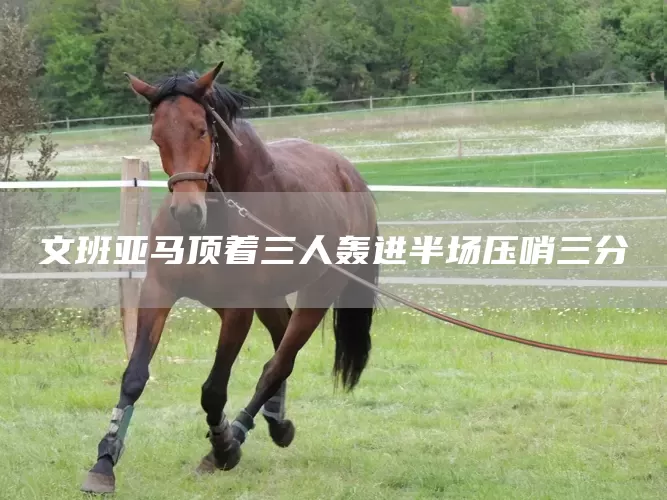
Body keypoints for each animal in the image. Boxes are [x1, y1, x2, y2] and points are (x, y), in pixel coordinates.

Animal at [81, 62, 381, 494]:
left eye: (201, 131)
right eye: (157, 136)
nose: (187, 213)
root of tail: (351, 176)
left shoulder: (238, 310)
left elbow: (213, 390)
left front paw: (222, 447)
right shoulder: (159, 291)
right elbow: (134, 376)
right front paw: (104, 461)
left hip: (316, 294)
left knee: (278, 363)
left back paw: (237, 434)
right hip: (266, 299)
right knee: (280, 345)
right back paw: (276, 422)